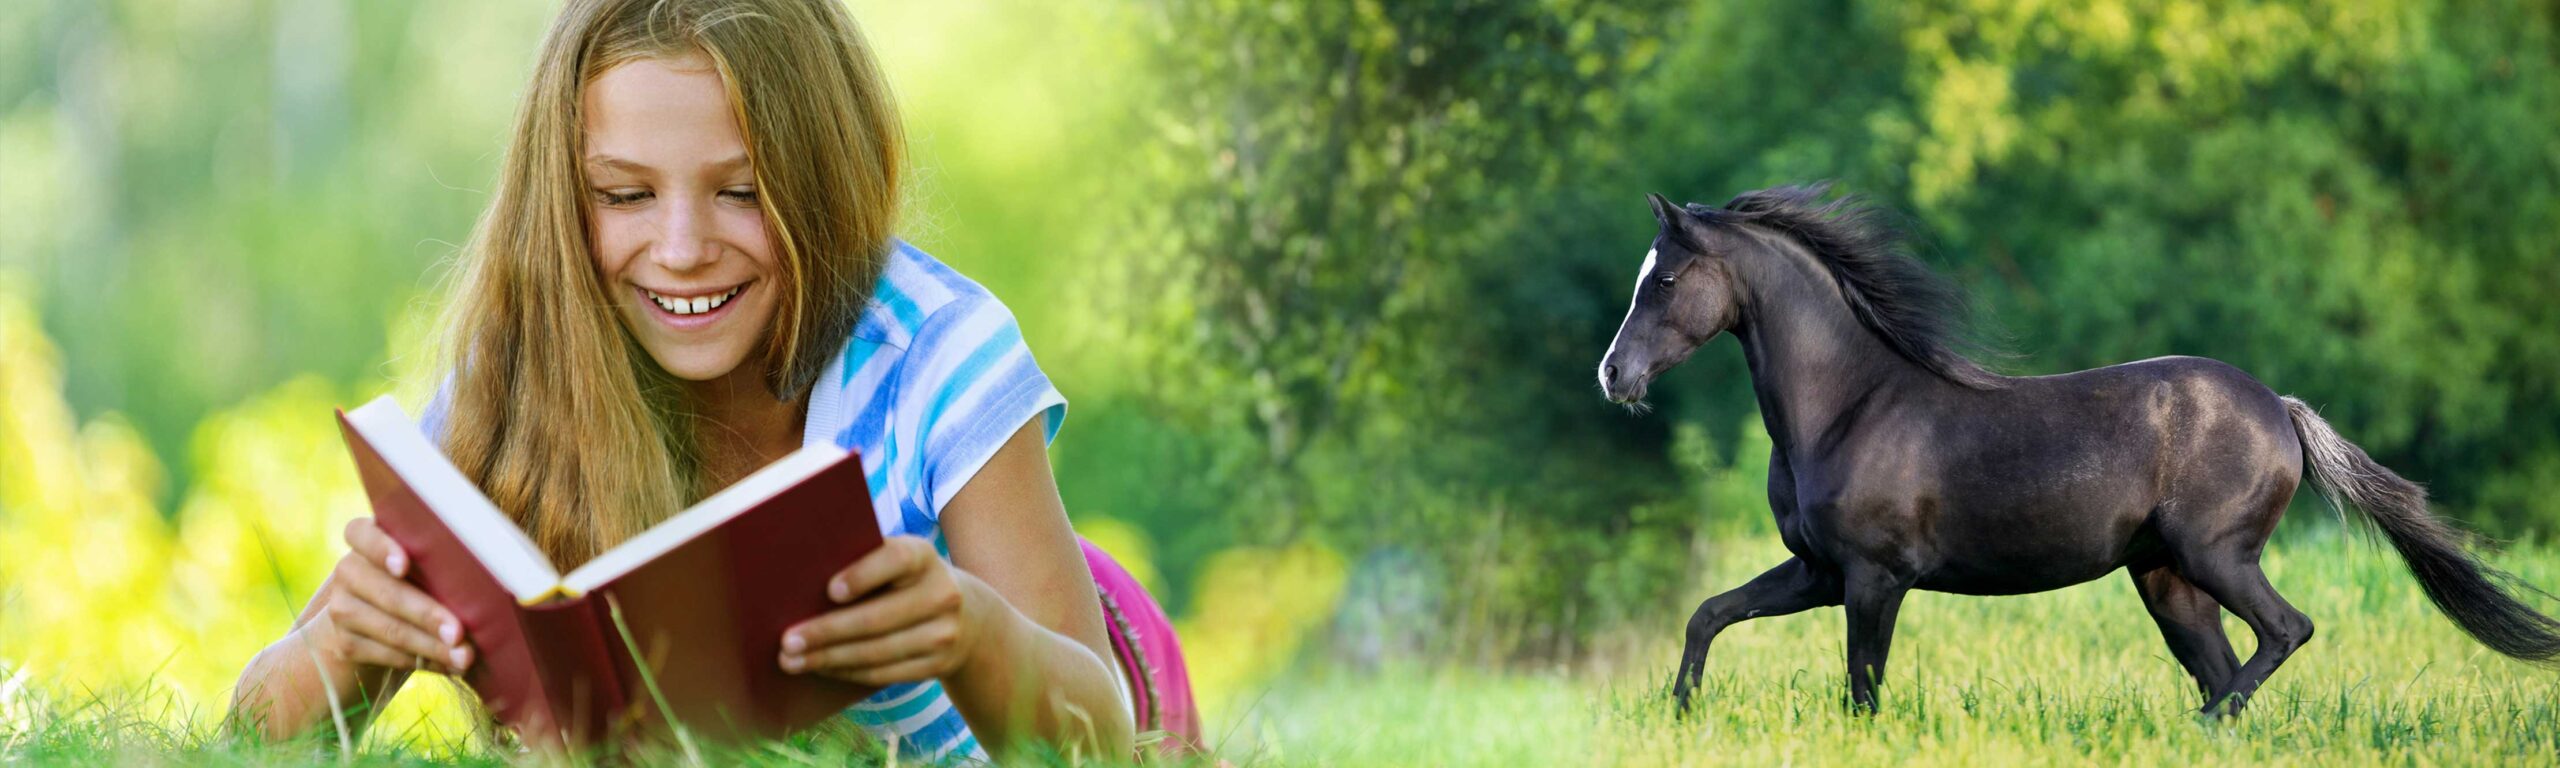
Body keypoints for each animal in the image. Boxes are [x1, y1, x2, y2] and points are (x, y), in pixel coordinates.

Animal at [1595, 183, 2560, 716]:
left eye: (1666, 279)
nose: (1613, 375)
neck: (1847, 408)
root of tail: (2282, 411)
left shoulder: (1874, 578)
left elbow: (1862, 688)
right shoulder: (1819, 572)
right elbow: (1709, 614)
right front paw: (1680, 713)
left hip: (2216, 557)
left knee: (2285, 632)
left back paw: (2195, 731)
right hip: (2167, 580)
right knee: (2225, 668)